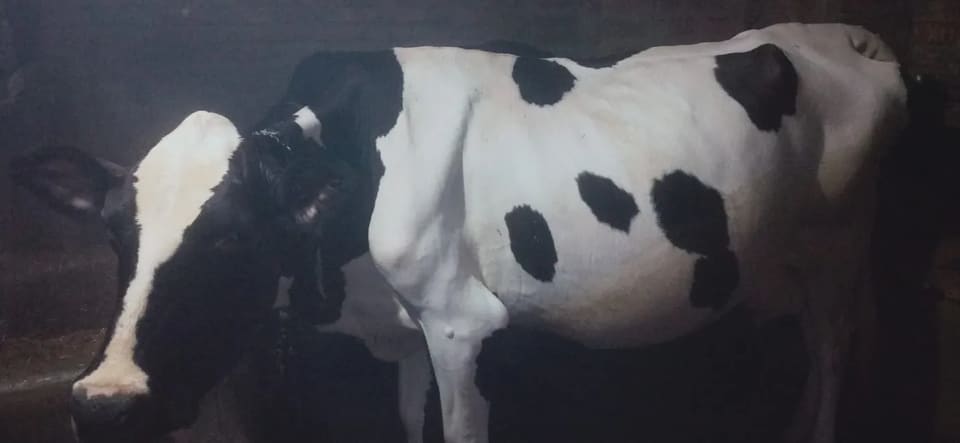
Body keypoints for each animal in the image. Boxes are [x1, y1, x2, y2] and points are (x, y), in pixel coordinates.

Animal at [10, 23, 909, 443]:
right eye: (116, 235)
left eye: (232, 239)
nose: (102, 403)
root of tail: (841, 36)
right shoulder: (407, 332)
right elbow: (412, 424)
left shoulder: (460, 323)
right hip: (787, 258)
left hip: (839, 245)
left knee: (834, 351)